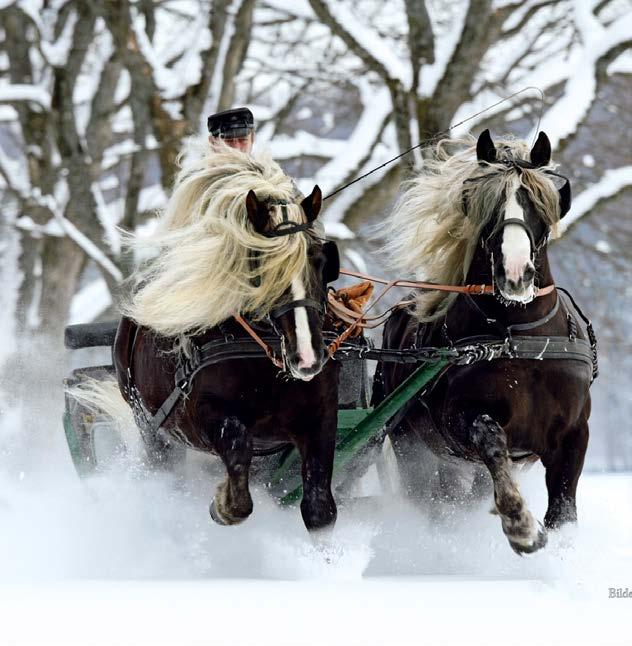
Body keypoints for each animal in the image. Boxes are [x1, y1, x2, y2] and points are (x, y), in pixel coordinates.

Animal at [372, 132, 596, 556]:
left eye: (537, 203)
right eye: (486, 204)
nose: (515, 272)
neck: (524, 339)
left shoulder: (574, 434)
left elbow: (563, 513)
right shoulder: (460, 421)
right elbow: (491, 438)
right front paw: (519, 523)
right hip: (412, 446)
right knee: (433, 501)